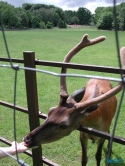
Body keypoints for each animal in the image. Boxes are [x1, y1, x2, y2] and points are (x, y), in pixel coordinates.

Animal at [23, 34, 125, 166]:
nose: (27, 139)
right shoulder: (82, 133)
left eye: (64, 126)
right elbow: (84, 159)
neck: (94, 123)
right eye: (50, 111)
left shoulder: (102, 135)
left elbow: (97, 156)